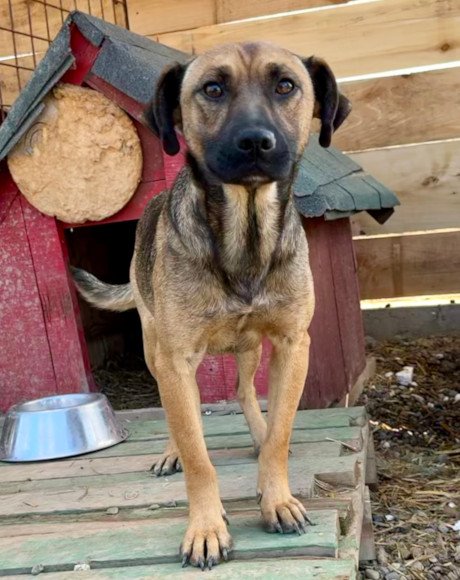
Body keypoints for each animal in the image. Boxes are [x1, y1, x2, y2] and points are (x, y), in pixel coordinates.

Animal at [73, 41, 351, 569]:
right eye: (213, 88)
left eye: (286, 85)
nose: (256, 142)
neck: (245, 233)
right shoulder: (177, 358)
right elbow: (198, 457)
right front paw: (204, 527)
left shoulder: (292, 344)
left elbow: (280, 433)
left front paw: (276, 495)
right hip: (154, 347)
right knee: (180, 414)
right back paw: (171, 450)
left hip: (250, 347)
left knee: (243, 391)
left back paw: (256, 432)